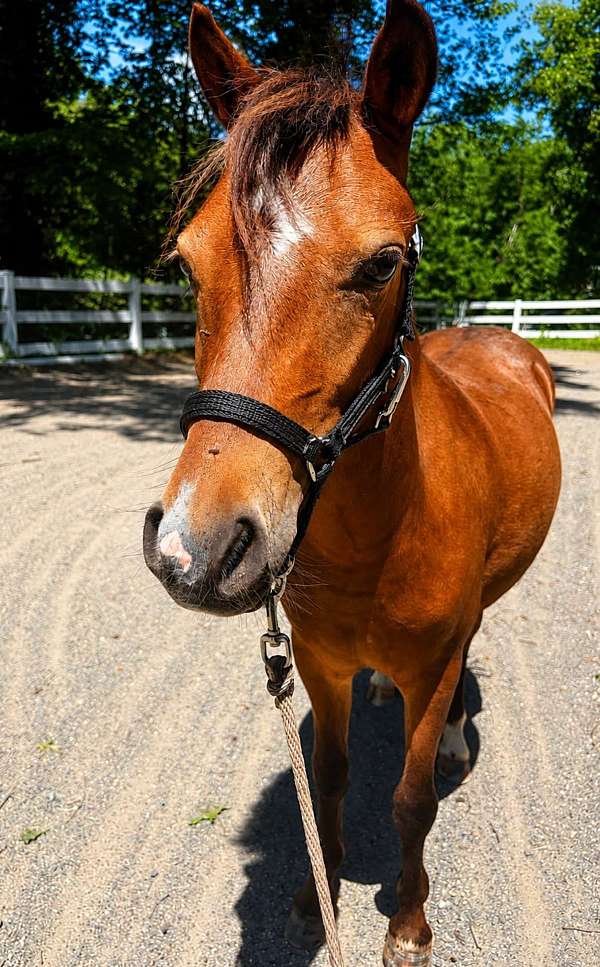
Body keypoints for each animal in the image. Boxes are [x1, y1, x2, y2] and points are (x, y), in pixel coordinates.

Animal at [143, 2, 561, 963]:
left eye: (381, 262)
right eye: (188, 263)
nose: (197, 548)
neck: (382, 532)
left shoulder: (431, 668)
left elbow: (409, 799)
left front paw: (407, 923)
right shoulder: (319, 665)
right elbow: (328, 780)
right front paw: (315, 891)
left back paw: (453, 740)